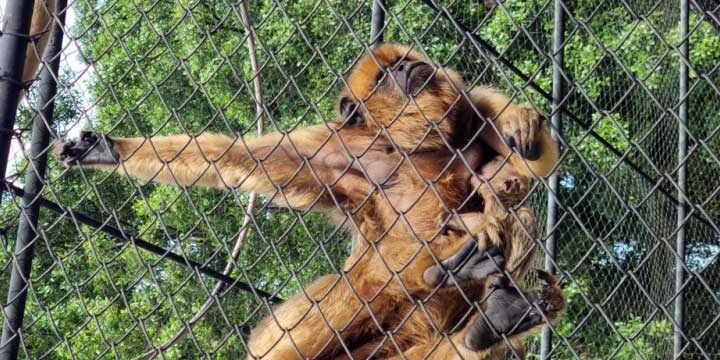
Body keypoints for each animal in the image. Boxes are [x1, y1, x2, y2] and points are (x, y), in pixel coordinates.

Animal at [54, 43, 564, 358]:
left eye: (402, 61)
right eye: (385, 76)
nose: (407, 69)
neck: (417, 146)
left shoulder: (466, 125)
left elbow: (526, 164)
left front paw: (519, 121)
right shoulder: (339, 151)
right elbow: (236, 156)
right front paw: (109, 151)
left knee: (516, 210)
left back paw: (491, 320)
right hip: (364, 285)